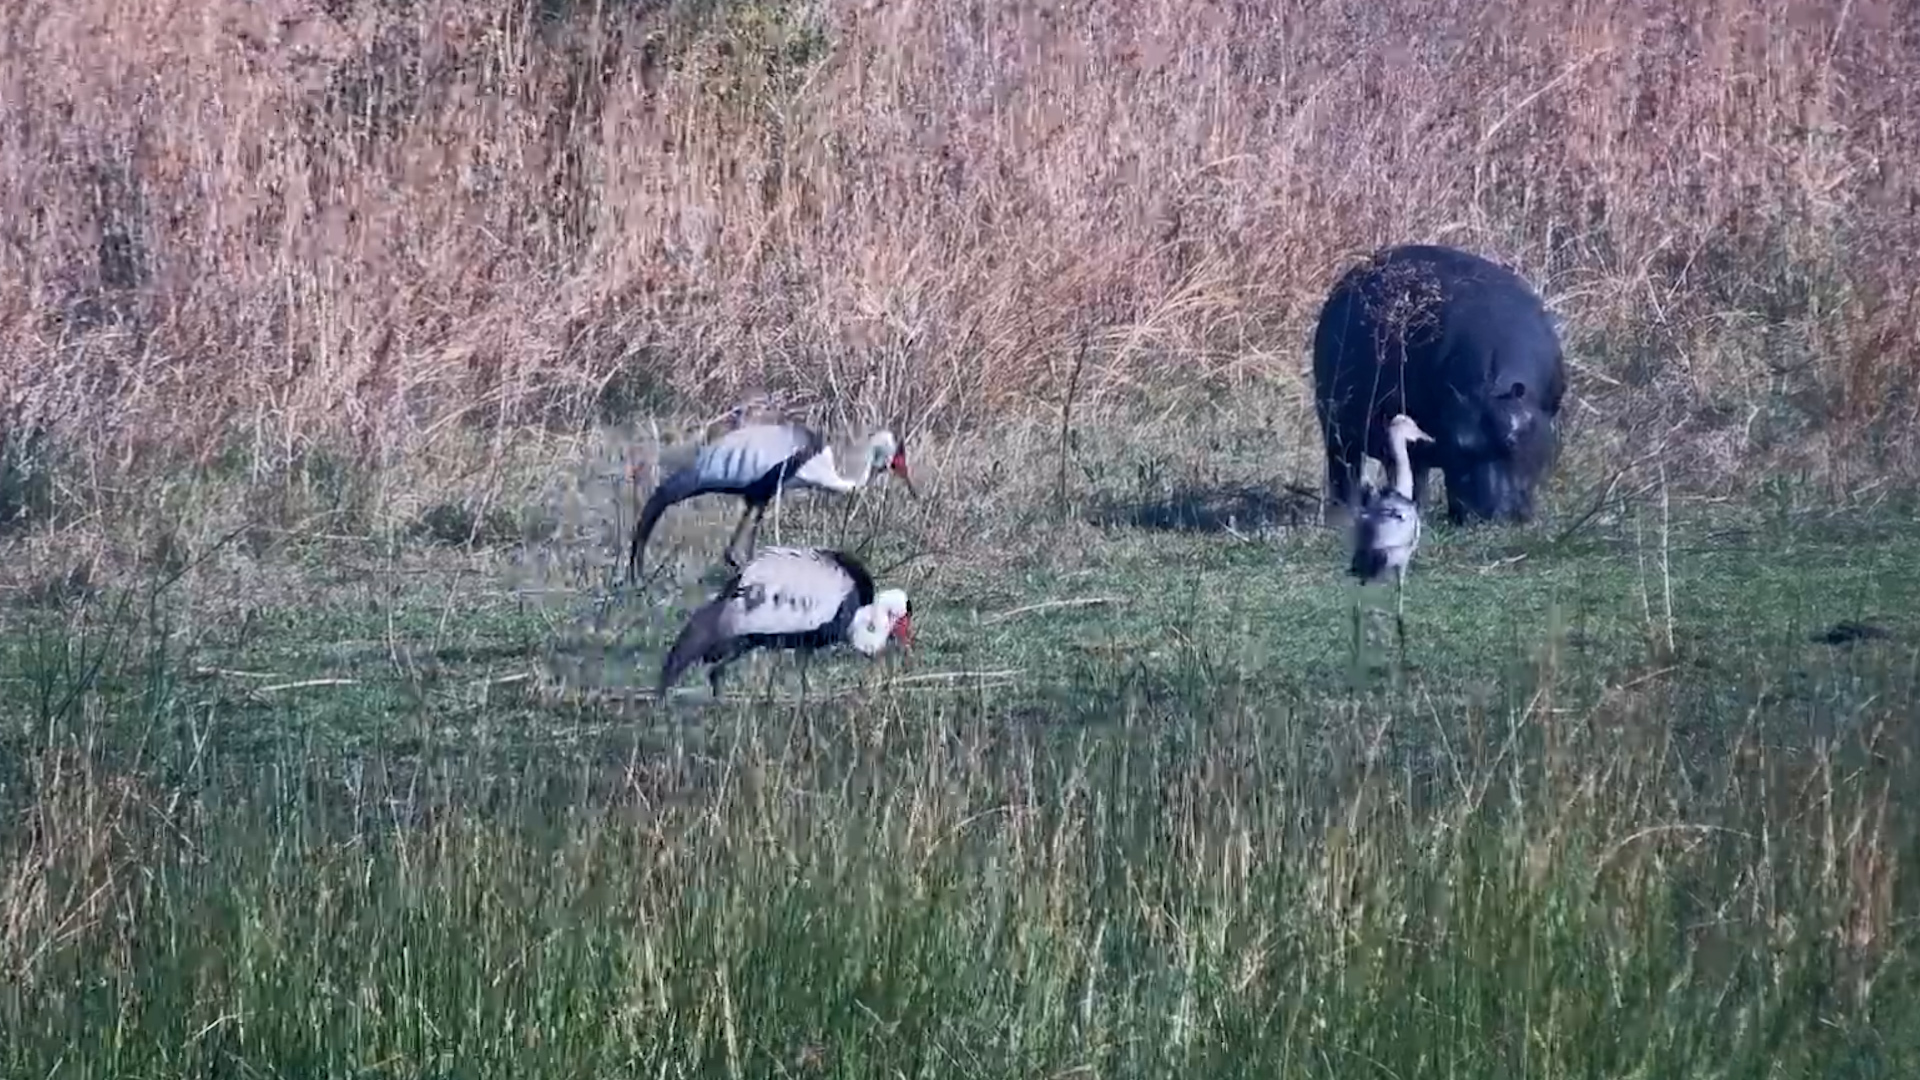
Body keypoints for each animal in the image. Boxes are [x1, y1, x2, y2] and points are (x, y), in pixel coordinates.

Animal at [1310, 243, 1567, 525]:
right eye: (1460, 445)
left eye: (1510, 441)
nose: (1490, 516)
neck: (1489, 388)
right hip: (1336, 427)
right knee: (1348, 468)